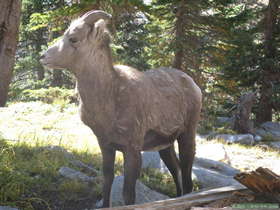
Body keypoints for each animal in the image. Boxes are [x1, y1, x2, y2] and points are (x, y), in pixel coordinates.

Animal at [41, 10, 201, 208]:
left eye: (73, 39)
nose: (43, 57)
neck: (110, 101)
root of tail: (195, 86)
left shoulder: (132, 149)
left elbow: (128, 195)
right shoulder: (105, 145)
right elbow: (107, 181)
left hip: (187, 134)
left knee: (187, 176)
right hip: (165, 146)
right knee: (176, 171)